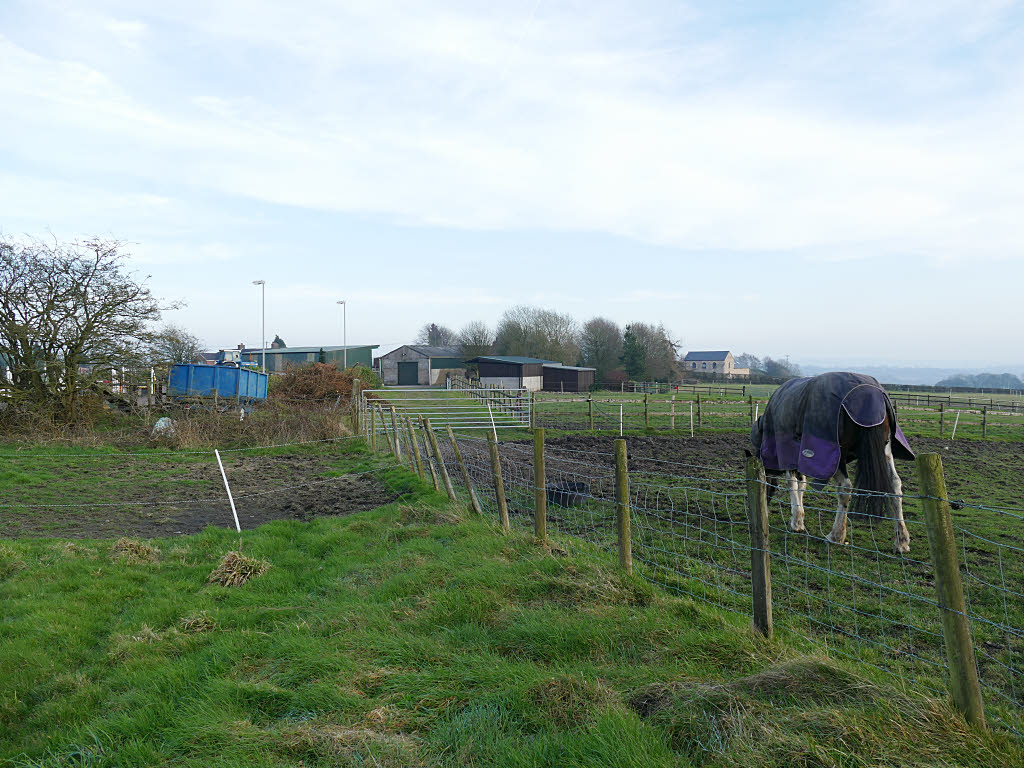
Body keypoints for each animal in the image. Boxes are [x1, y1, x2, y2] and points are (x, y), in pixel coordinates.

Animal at [749, 372, 917, 552]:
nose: (764, 509)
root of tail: (869, 394)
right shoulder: (800, 457)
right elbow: (801, 484)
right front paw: (800, 518)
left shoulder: (788, 454)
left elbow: (792, 485)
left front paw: (796, 522)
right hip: (884, 450)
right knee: (895, 485)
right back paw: (901, 540)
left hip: (838, 456)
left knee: (845, 489)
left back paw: (836, 535)